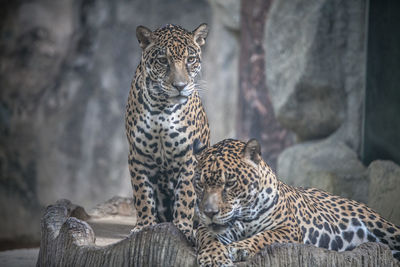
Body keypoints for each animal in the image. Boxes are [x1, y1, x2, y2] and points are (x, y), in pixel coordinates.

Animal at [126, 23, 211, 241]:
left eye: (191, 59)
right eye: (163, 61)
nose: (180, 86)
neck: (162, 107)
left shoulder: (188, 157)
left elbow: (186, 196)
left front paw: (182, 228)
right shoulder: (137, 155)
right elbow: (142, 194)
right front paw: (143, 226)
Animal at [194, 139, 400, 266]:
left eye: (229, 183)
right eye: (200, 184)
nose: (209, 212)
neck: (242, 215)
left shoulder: (287, 229)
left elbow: (264, 236)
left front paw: (239, 248)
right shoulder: (204, 228)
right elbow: (209, 237)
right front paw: (213, 258)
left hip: (383, 226)